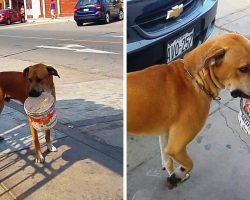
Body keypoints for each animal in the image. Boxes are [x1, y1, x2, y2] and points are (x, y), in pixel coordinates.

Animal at [128, 33, 250, 189]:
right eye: (244, 69)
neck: (196, 79)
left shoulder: (166, 136)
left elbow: (167, 160)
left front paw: (173, 173)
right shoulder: (176, 146)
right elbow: (190, 163)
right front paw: (178, 175)